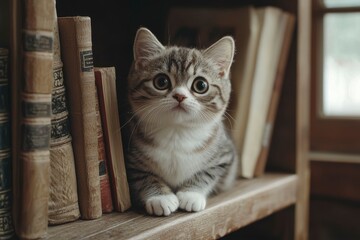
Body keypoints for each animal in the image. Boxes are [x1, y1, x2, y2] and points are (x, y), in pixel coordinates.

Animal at [125, 27, 238, 217]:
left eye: (201, 85)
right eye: (161, 81)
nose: (179, 96)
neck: (177, 132)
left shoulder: (225, 155)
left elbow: (208, 172)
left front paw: (191, 194)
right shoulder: (130, 158)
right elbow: (143, 175)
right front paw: (160, 197)